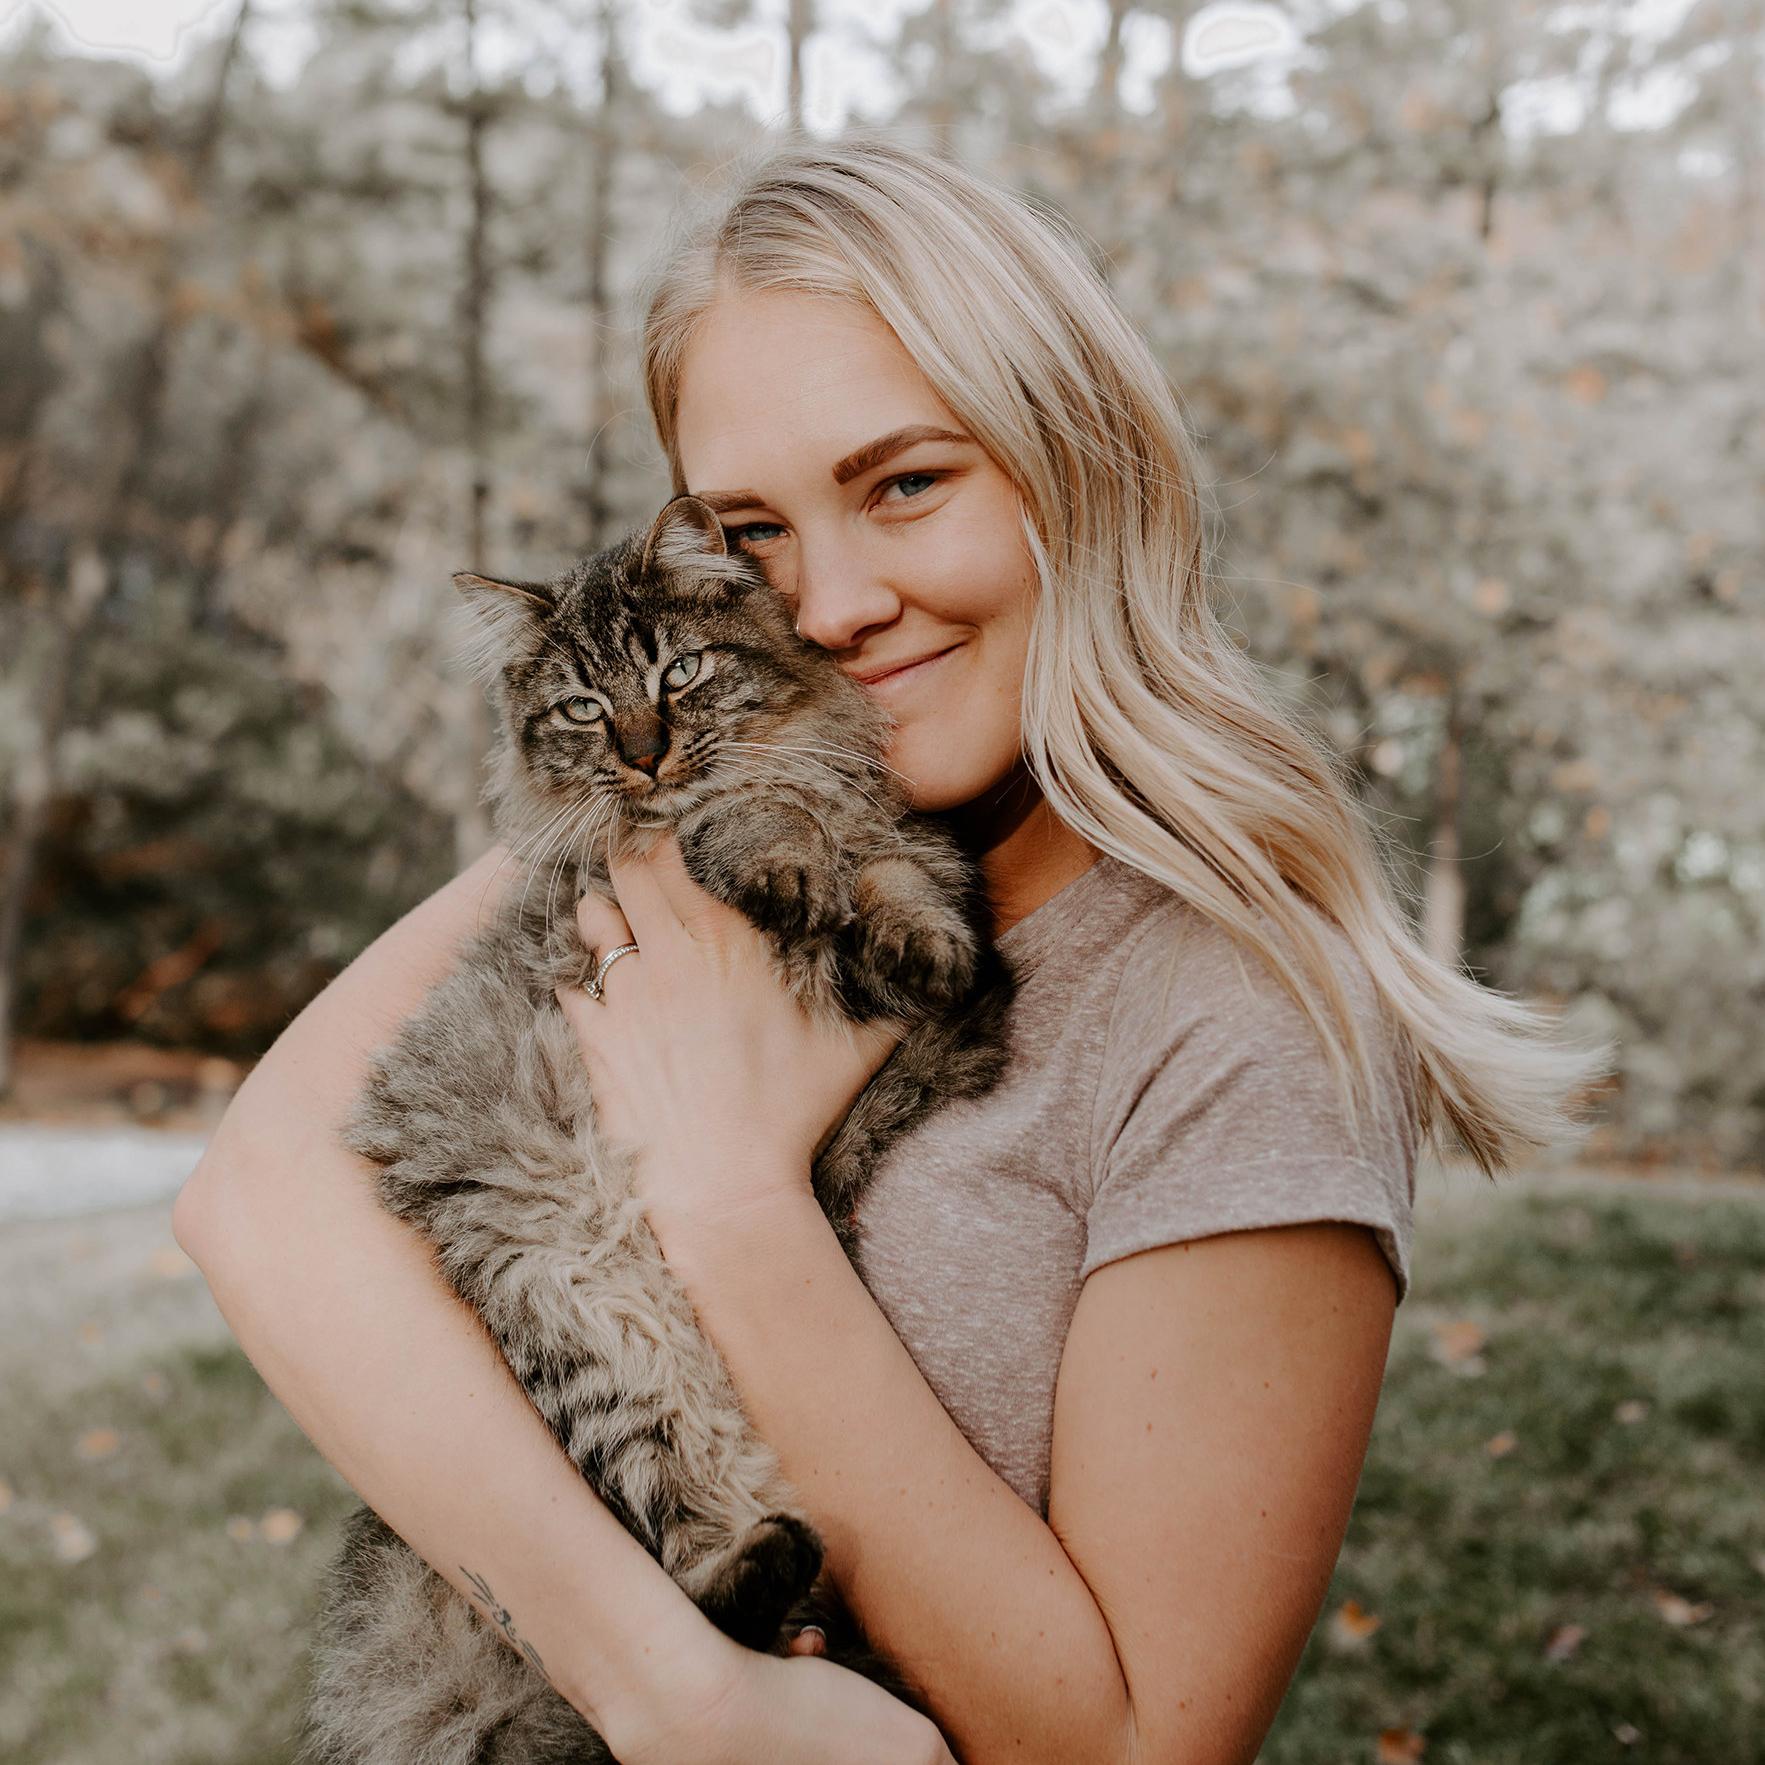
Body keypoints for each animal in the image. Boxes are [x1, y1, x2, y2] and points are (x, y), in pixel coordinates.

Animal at [298, 493, 1017, 1764]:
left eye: (678, 672)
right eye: (585, 707)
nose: (642, 752)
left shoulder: (899, 838)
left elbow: (899, 878)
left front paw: (920, 944)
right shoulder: (648, 858)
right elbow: (744, 819)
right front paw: (783, 867)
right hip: (575, 1321)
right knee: (687, 1572)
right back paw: (764, 1558)